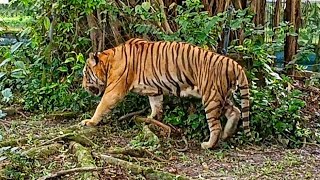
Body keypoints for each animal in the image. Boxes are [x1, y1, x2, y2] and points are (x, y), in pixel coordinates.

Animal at [80, 37, 250, 149]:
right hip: (222, 96)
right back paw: (227, 135)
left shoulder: (114, 90)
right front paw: (151, 120)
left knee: (216, 126)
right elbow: (156, 106)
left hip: (211, 98)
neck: (109, 61)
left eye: (85, 74)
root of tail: (233, 63)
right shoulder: (154, 90)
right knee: (235, 111)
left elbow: (101, 106)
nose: (82, 86)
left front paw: (89, 122)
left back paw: (209, 144)